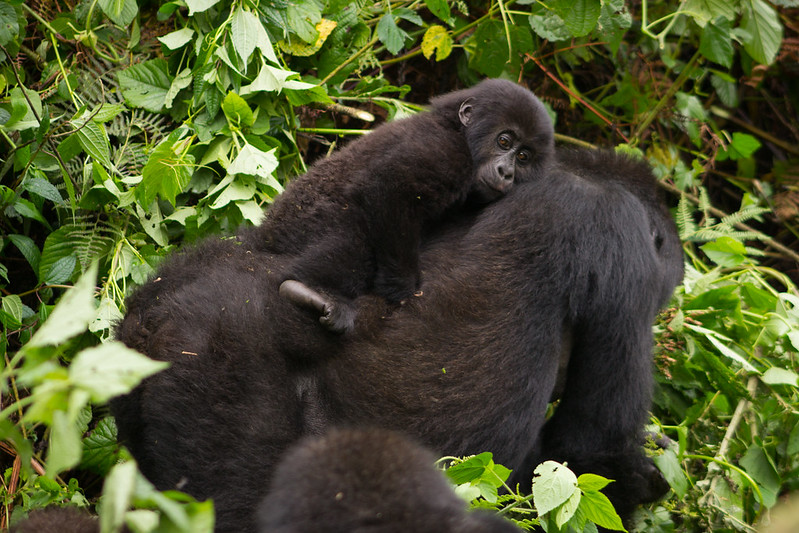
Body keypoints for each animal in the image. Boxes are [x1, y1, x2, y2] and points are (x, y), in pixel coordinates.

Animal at [266, 78, 552, 332]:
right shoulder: (447, 153)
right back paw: (309, 290)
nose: (507, 173)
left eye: (523, 156)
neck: (457, 128)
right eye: (504, 141)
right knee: (354, 236)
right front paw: (400, 290)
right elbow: (391, 187)